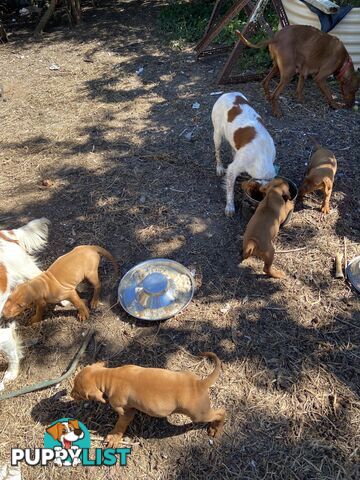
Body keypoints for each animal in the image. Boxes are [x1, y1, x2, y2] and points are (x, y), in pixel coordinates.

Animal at [70, 352, 225, 446]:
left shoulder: (126, 412)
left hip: (198, 414)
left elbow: (120, 424)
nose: (70, 394)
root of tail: (199, 384)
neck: (109, 376)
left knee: (221, 412)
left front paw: (114, 437)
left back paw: (215, 429)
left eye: (78, 392)